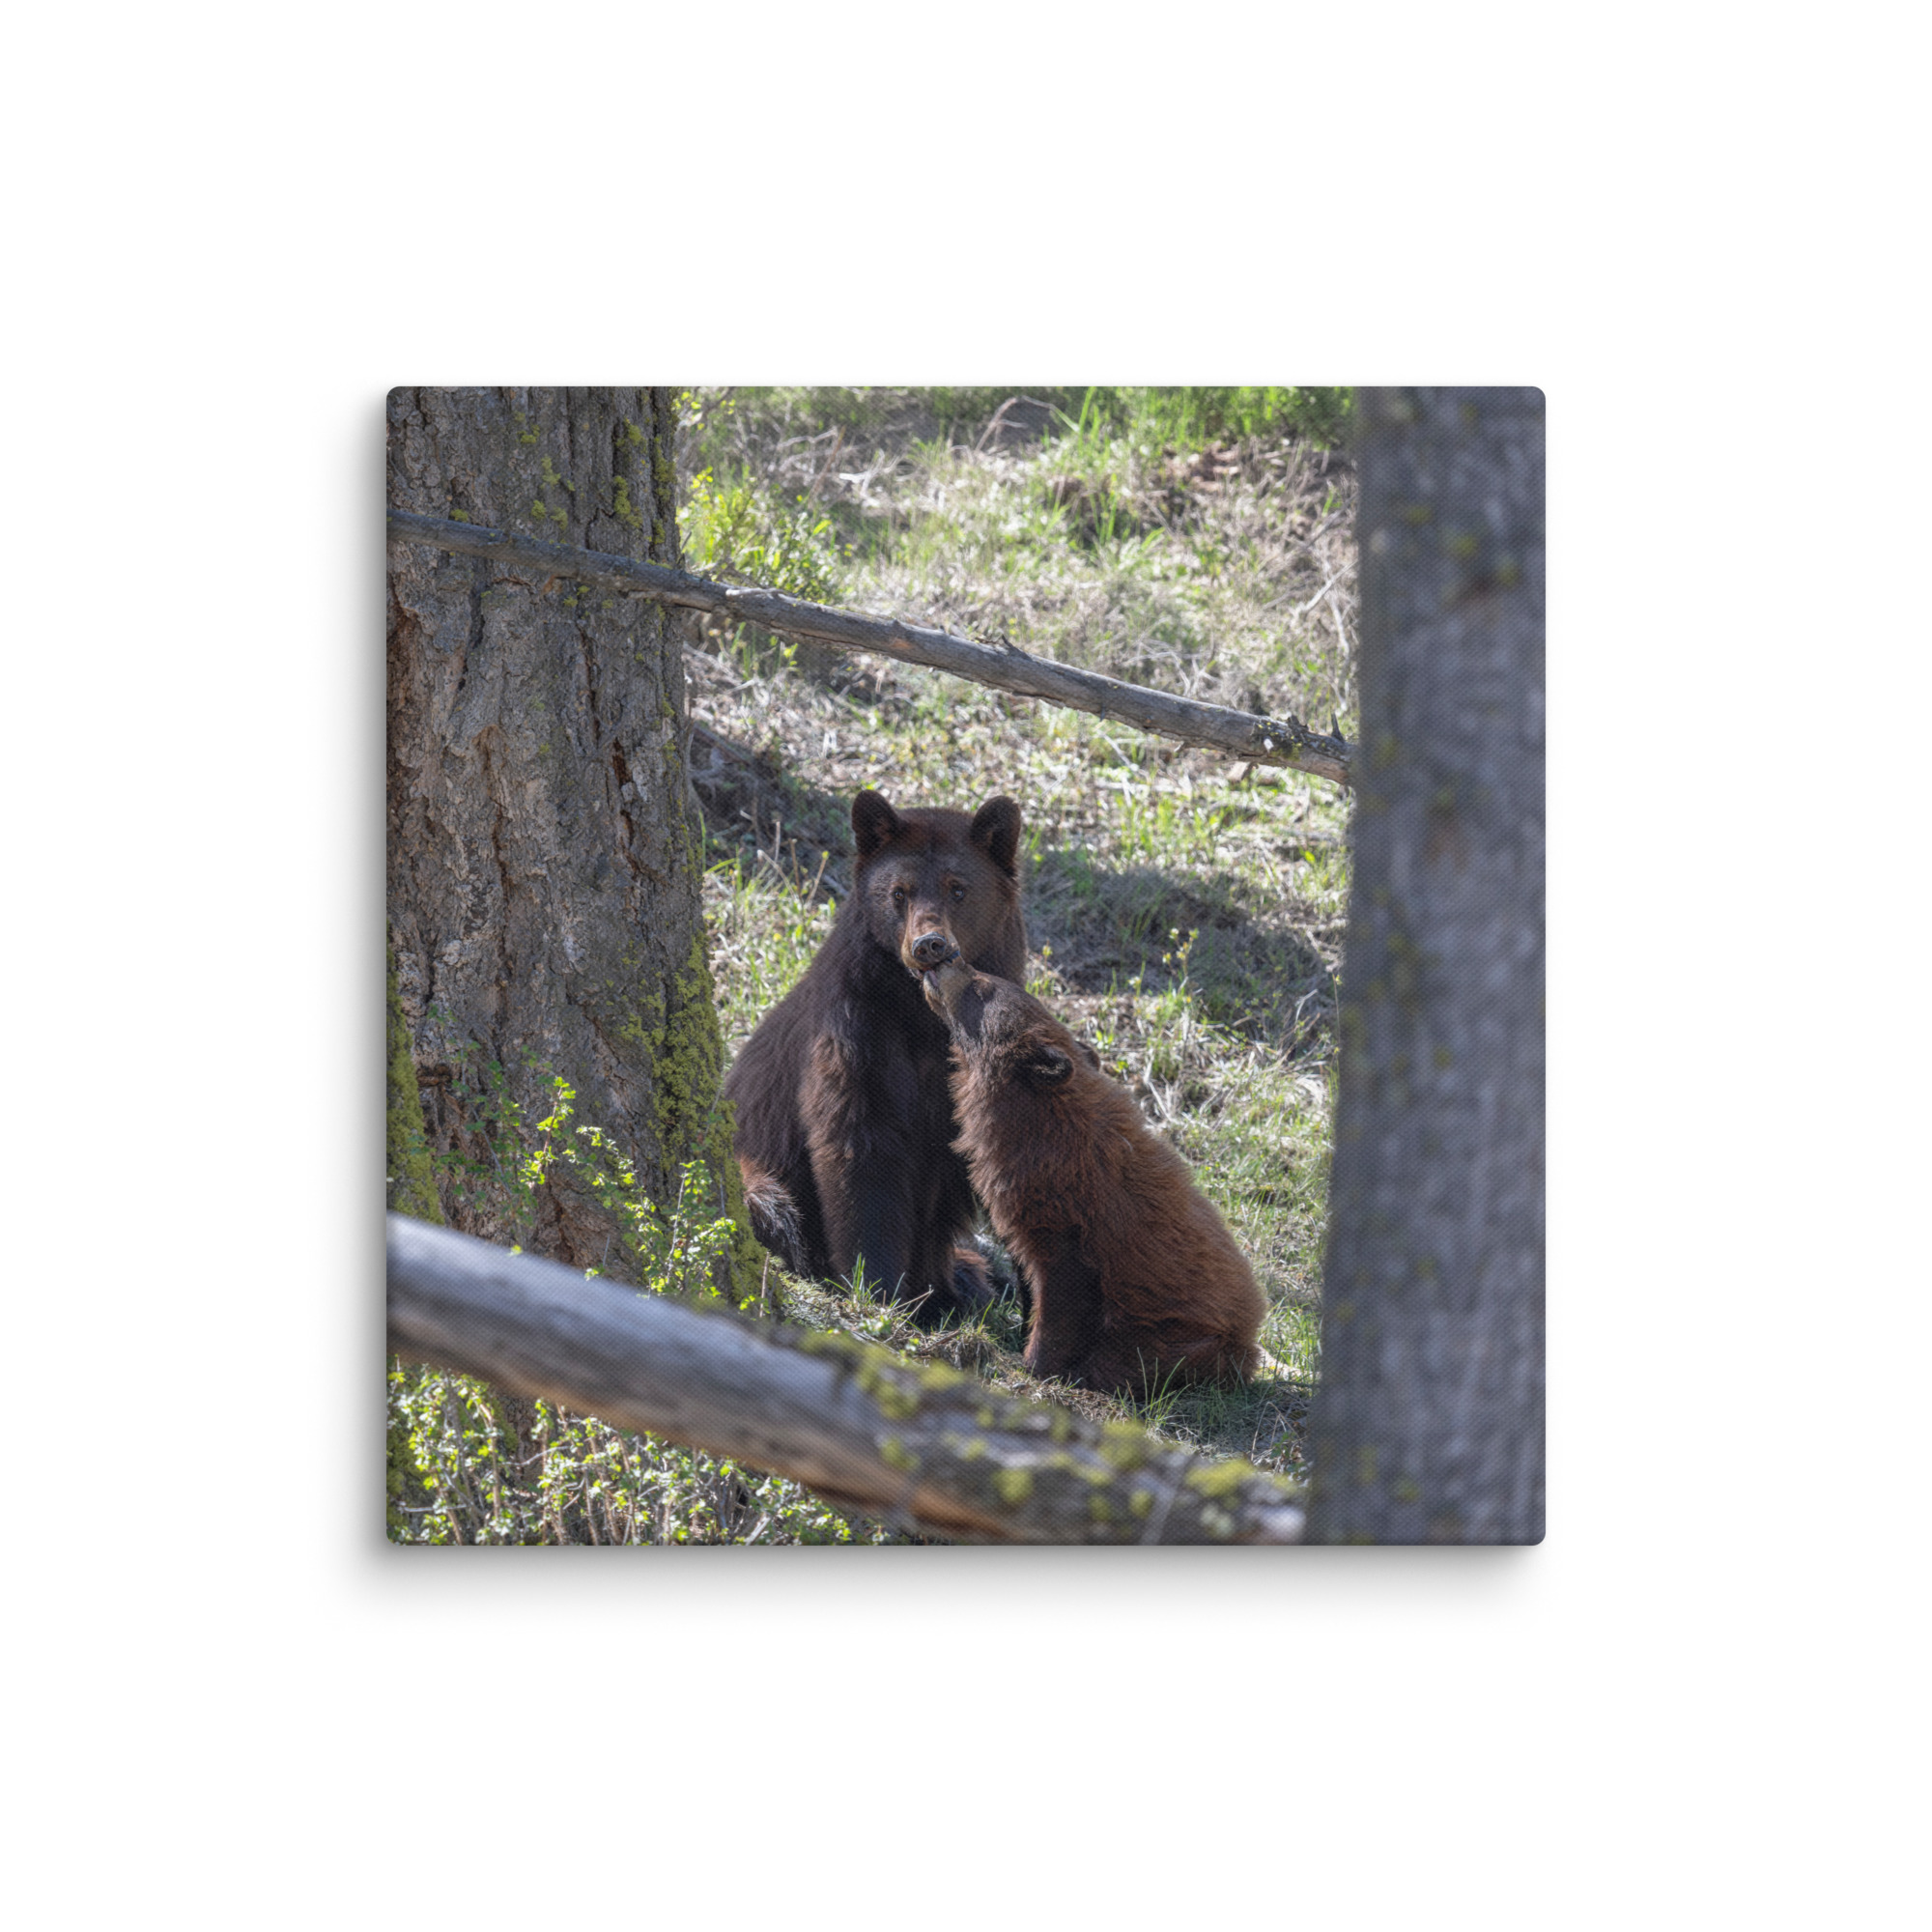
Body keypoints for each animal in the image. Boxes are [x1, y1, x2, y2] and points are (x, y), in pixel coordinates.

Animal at [723, 787, 1028, 1325]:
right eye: (899, 892)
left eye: (958, 889)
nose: (929, 944)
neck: (923, 1015)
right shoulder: (856, 1031)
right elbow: (860, 1148)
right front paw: (879, 1287)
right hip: (754, 1171)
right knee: (772, 1207)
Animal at [918, 947, 1265, 1394]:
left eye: (982, 986)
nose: (948, 956)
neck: (1039, 1122)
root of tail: (1249, 1338)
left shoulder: (1070, 1217)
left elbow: (1063, 1294)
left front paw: (1035, 1362)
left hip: (1181, 1338)